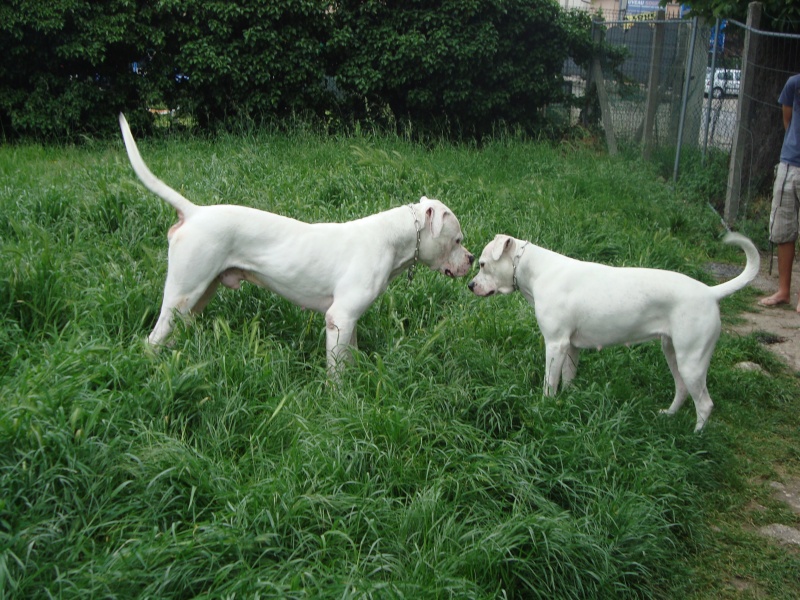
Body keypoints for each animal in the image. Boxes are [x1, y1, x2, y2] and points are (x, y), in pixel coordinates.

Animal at [120, 113, 476, 372]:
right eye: (458, 240)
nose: (473, 259)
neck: (391, 240)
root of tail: (194, 212)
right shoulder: (339, 317)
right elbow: (336, 373)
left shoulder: (348, 322)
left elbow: (349, 358)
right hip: (183, 293)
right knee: (153, 339)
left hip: (199, 296)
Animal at [472, 231, 760, 432]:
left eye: (483, 264)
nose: (470, 285)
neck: (540, 271)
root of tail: (711, 292)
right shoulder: (571, 347)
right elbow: (568, 377)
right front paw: (569, 400)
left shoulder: (555, 344)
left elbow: (549, 383)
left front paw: (545, 407)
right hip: (674, 354)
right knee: (682, 389)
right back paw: (668, 417)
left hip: (692, 361)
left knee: (704, 404)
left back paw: (695, 438)